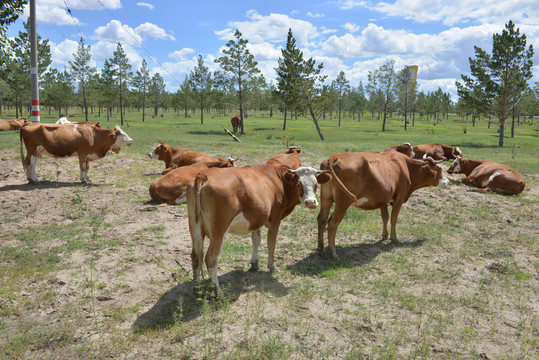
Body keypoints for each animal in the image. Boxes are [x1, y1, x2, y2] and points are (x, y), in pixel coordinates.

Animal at [188, 165, 332, 294]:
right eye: (299, 184)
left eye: (316, 184)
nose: (311, 202)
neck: (279, 182)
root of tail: (204, 173)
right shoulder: (275, 220)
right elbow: (271, 244)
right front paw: (272, 266)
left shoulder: (256, 220)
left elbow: (256, 240)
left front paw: (254, 263)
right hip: (219, 230)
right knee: (211, 258)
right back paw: (217, 290)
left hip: (194, 227)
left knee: (195, 255)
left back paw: (196, 286)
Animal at [318, 151, 450, 258]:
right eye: (440, 169)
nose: (448, 182)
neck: (407, 167)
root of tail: (335, 157)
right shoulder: (399, 198)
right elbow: (393, 218)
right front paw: (394, 238)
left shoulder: (383, 199)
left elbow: (385, 217)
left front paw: (385, 235)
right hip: (343, 201)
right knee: (333, 223)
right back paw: (333, 252)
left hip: (326, 198)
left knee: (322, 219)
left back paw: (320, 247)